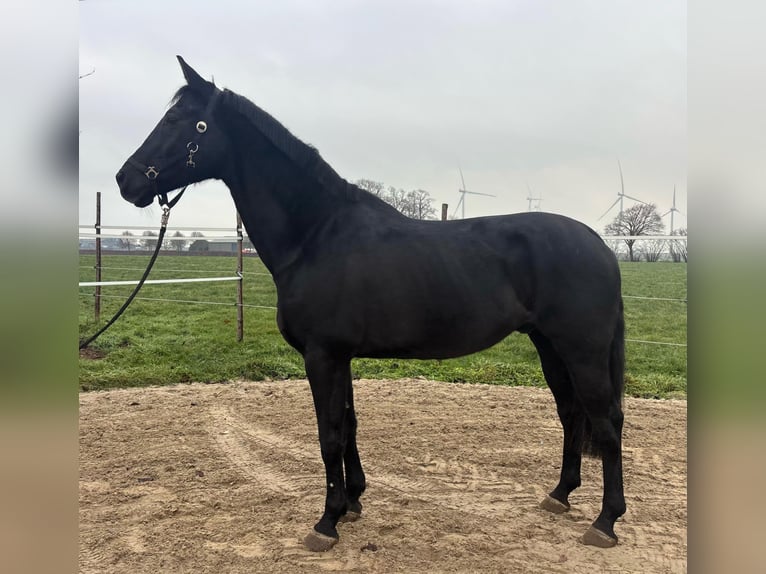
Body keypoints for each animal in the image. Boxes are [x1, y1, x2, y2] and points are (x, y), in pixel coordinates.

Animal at [116, 56, 626, 551]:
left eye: (177, 119)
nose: (125, 180)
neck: (317, 235)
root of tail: (600, 246)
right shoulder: (339, 356)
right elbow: (349, 426)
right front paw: (352, 502)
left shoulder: (322, 355)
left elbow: (328, 434)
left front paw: (326, 523)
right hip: (549, 346)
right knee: (571, 413)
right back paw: (559, 495)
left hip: (580, 349)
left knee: (606, 421)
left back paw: (605, 522)